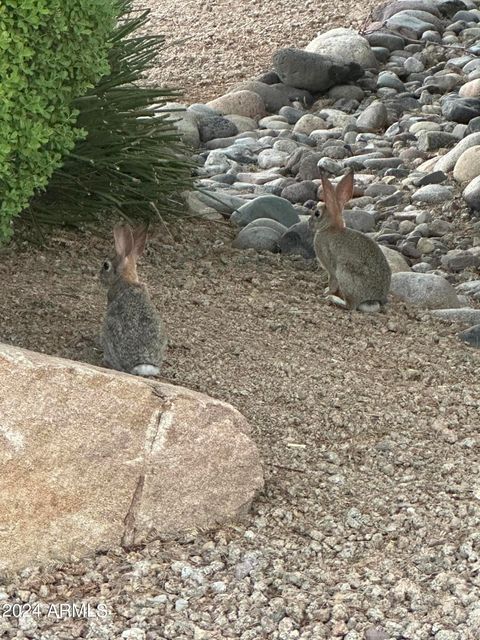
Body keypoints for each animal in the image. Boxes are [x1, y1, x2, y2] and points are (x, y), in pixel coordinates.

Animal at [310, 169, 392, 312]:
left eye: (317, 213)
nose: (309, 223)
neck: (330, 227)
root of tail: (372, 300)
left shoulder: (331, 268)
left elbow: (332, 282)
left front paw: (325, 293)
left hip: (345, 272)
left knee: (351, 306)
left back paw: (333, 299)